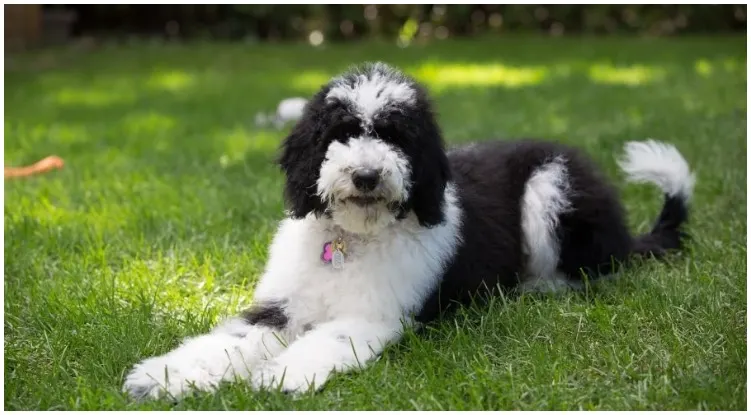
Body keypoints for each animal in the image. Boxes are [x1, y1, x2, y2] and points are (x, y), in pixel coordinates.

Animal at [122, 61, 692, 400]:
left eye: (397, 137)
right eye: (341, 133)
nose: (367, 175)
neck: (352, 241)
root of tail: (625, 229)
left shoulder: (376, 314)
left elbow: (328, 338)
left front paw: (283, 373)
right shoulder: (280, 306)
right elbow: (231, 341)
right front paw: (164, 376)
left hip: (551, 187)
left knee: (593, 268)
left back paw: (532, 287)